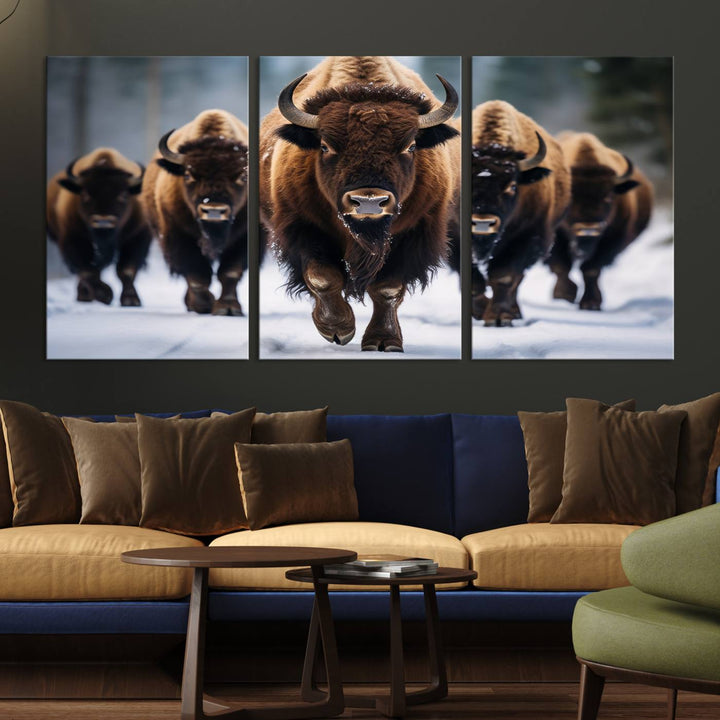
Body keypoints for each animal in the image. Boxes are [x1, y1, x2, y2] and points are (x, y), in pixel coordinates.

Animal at [46, 149, 150, 306]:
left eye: (123, 194)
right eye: (85, 194)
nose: (103, 221)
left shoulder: (136, 237)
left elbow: (126, 270)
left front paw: (131, 300)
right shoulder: (74, 239)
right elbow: (88, 271)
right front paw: (105, 295)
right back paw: (84, 296)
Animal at [143, 109, 250, 316]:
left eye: (242, 176)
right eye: (188, 174)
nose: (214, 210)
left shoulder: (244, 237)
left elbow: (230, 272)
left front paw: (228, 308)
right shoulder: (180, 236)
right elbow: (197, 274)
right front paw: (204, 305)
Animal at [262, 56, 458, 352]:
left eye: (411, 146)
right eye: (325, 146)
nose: (369, 202)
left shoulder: (414, 233)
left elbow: (388, 288)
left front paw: (384, 341)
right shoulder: (303, 227)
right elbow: (322, 277)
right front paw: (337, 329)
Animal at [466, 101, 572, 326]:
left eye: (513, 186)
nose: (482, 223)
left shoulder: (527, 238)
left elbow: (504, 277)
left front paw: (498, 318)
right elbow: (474, 282)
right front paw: (481, 311)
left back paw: (514, 312)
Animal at [548, 131, 656, 310]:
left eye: (608, 197)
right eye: (571, 197)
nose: (588, 230)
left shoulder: (610, 241)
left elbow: (591, 270)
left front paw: (591, 303)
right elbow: (561, 266)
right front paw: (564, 296)